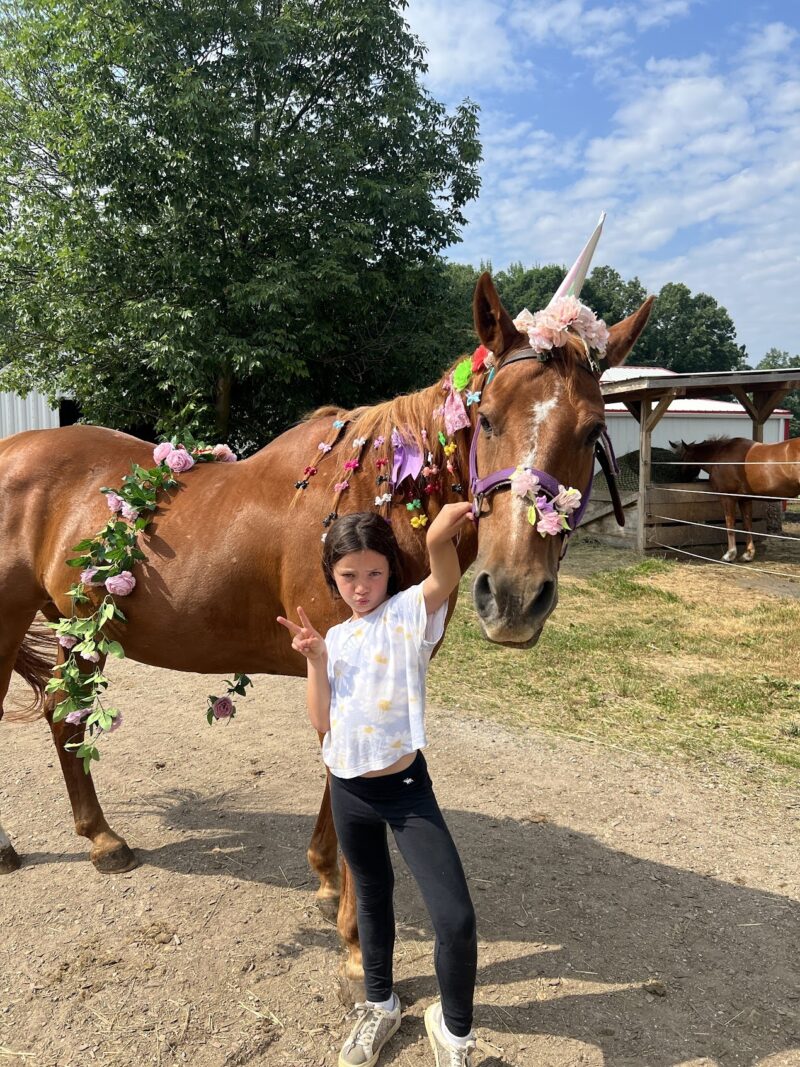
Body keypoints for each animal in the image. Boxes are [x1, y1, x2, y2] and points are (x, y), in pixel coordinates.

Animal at [1, 273, 653, 998]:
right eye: (486, 419)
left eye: (592, 430)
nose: (513, 595)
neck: (378, 503)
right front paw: (356, 944)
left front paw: (324, 880)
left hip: (75, 628)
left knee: (64, 716)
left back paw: (101, 838)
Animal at [671, 436, 800, 561]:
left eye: (682, 458)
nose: (682, 478)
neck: (720, 454)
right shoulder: (745, 499)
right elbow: (747, 525)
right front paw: (748, 554)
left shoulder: (727, 498)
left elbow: (730, 524)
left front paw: (730, 554)